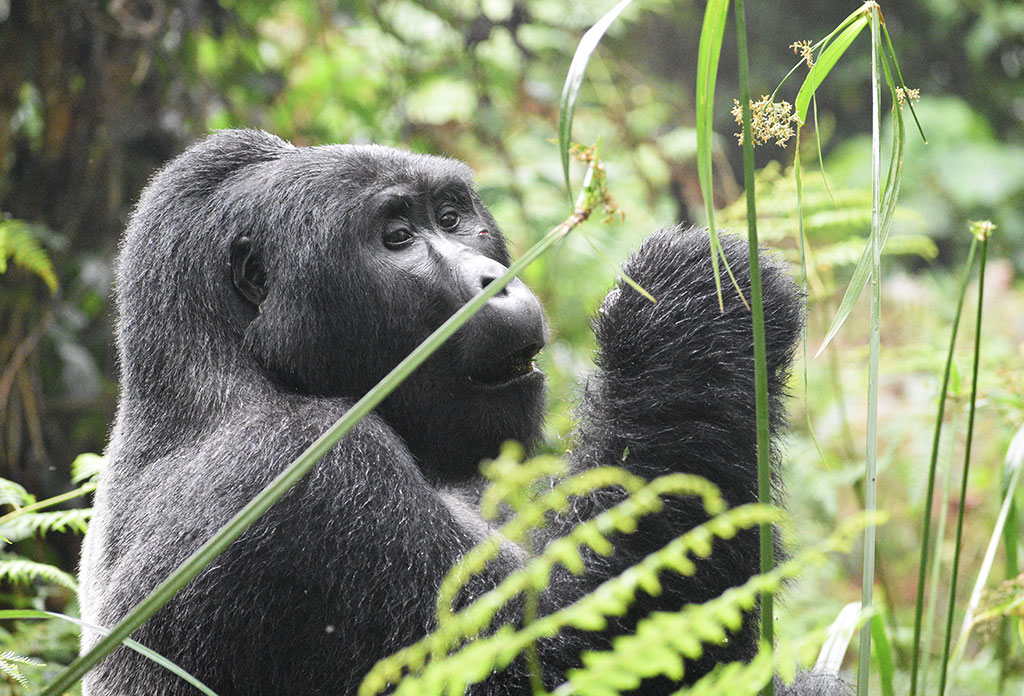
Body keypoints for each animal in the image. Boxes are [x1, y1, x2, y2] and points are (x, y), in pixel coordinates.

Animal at [79, 130, 843, 696]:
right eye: (396, 237)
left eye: (452, 219)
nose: (495, 282)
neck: (225, 366)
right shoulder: (300, 470)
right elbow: (578, 657)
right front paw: (698, 308)